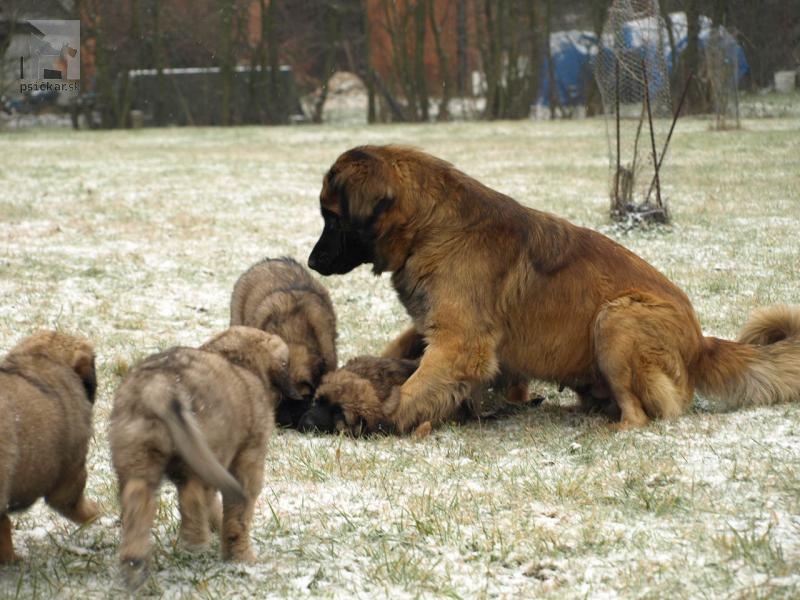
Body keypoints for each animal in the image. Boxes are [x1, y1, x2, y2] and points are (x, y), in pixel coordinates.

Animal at [109, 326, 296, 588]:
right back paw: (195, 540)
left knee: (138, 496)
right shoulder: (249, 458)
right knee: (194, 494)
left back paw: (134, 561)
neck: (239, 361)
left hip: (137, 451)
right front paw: (241, 557)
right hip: (209, 446)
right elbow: (238, 515)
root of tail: (160, 386)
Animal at [308, 148, 800, 434]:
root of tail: (701, 342)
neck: (431, 226)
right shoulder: (435, 327)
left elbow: (411, 391)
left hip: (617, 318)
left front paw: (378, 416)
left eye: (332, 216)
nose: (312, 262)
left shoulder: (460, 344)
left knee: (643, 415)